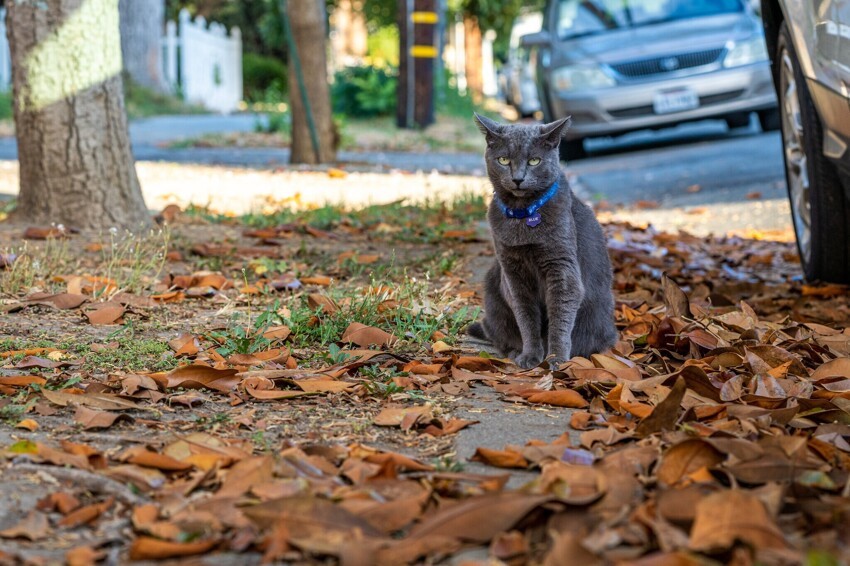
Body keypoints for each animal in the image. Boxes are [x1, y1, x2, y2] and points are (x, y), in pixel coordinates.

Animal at [464, 116, 616, 372]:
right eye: (504, 160)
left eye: (534, 160)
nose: (518, 178)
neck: (522, 214)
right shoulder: (512, 272)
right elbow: (525, 316)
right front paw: (530, 355)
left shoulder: (561, 266)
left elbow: (560, 314)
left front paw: (556, 358)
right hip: (493, 289)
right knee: (498, 334)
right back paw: (514, 351)